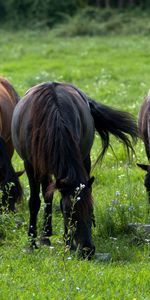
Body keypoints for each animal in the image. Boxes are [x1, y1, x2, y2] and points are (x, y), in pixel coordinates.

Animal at [11, 81, 138, 258]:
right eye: (67, 212)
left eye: (91, 210)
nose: (87, 250)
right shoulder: (30, 165)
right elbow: (34, 202)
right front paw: (31, 243)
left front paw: (68, 243)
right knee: (46, 195)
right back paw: (44, 237)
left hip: (82, 159)